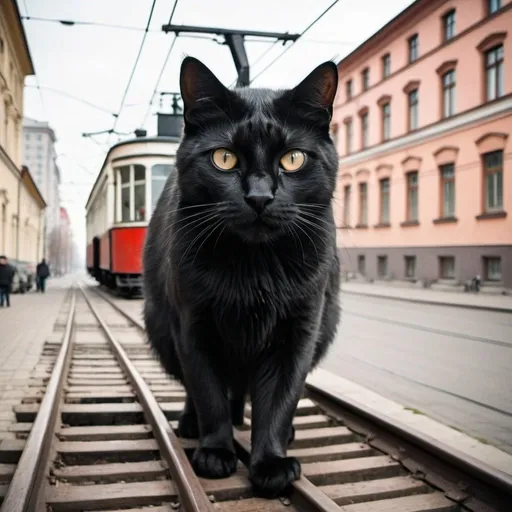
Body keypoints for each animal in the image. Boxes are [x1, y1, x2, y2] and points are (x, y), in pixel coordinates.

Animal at [144, 57, 342, 500]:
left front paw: (270, 462)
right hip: (159, 326)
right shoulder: (193, 327)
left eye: (293, 159)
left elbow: (280, 399)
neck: (255, 267)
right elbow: (208, 392)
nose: (259, 197)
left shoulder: (298, 333)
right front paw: (216, 452)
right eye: (224, 158)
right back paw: (193, 425)